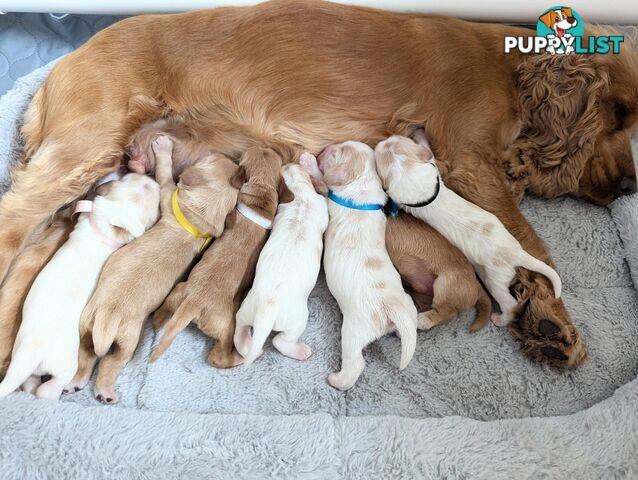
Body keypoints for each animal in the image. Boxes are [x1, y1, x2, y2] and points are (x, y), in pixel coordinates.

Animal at [0, 173, 159, 402]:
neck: (106, 226)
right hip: (66, 365)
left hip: (22, 359)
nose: (149, 178)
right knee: (48, 389)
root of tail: (32, 356)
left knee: (30, 383)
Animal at [151, 146, 288, 368]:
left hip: (176, 294)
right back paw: (241, 357)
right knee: (218, 358)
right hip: (227, 323)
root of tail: (193, 304)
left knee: (160, 317)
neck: (260, 193)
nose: (265, 146)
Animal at [235, 159, 330, 366]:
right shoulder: (321, 204)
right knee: (280, 341)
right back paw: (301, 351)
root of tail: (265, 313)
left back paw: (249, 347)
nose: (291, 162)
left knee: (240, 332)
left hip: (245, 309)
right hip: (297, 320)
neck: (299, 194)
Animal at [304, 141, 420, 392]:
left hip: (353, 330)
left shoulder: (330, 194)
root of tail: (391, 308)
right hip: (409, 307)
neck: (366, 180)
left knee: (355, 363)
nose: (323, 149)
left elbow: (321, 181)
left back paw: (337, 380)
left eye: (336, 152)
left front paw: (307, 162)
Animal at [378, 133, 564, 328]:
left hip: (490, 281)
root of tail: (517, 253)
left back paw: (498, 319)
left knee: (507, 305)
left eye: (390, 143)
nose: (385, 139)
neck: (410, 174)